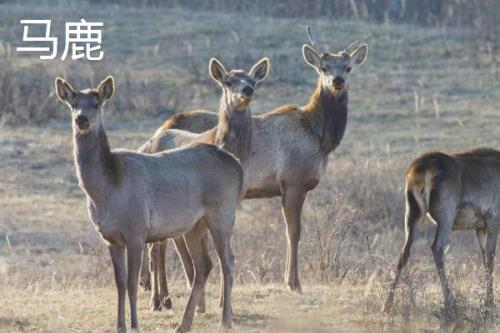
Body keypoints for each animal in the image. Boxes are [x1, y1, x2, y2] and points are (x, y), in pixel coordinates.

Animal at [54, 76, 242, 332]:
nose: (81, 119)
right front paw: (120, 326)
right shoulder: (110, 238)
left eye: (96, 103)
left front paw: (135, 325)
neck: (107, 191)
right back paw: (184, 324)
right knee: (204, 265)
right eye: (73, 104)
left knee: (228, 262)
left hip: (222, 213)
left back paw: (224, 321)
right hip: (194, 225)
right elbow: (119, 283)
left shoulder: (136, 231)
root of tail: (238, 166)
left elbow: (132, 283)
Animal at [139, 55, 272, 312]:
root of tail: (148, 142)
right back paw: (157, 300)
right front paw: (205, 302)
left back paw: (166, 298)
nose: (247, 90)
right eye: (228, 81)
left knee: (164, 242)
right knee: (156, 248)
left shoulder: (229, 204)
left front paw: (220, 302)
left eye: (252, 79)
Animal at [148, 27, 368, 294]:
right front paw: (293, 282)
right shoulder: (292, 181)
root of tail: (160, 129)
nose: (337, 80)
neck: (320, 137)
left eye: (348, 67)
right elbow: (293, 232)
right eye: (324, 67)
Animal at [380, 148, 500, 320]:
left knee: (404, 252)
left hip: (411, 211)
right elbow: (490, 261)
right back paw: (450, 304)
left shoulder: (480, 227)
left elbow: (485, 260)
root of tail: (419, 170)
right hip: (447, 213)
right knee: (437, 247)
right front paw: (488, 306)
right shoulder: (493, 220)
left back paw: (386, 306)